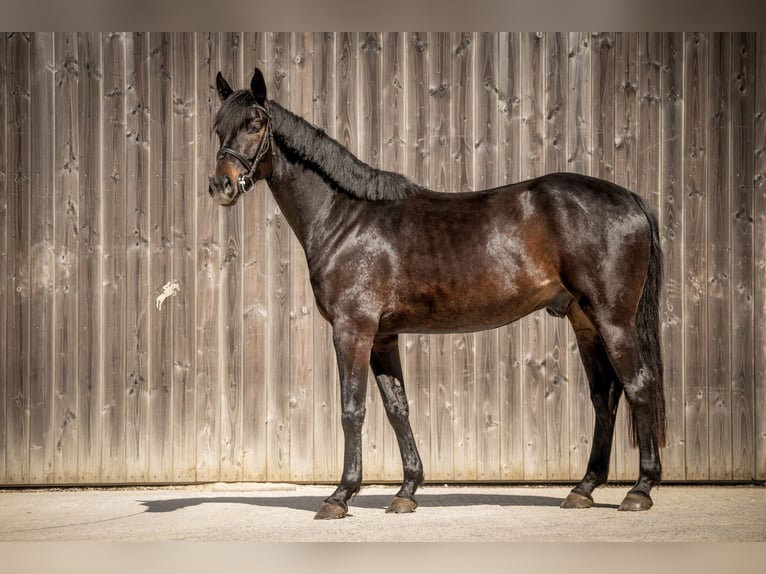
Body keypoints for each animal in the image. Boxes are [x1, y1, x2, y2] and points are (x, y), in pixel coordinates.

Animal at [208, 68, 667, 520]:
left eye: (255, 123)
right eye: (218, 127)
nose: (221, 186)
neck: (345, 217)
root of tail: (631, 199)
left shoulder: (352, 330)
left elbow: (352, 410)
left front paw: (340, 495)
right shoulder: (382, 336)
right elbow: (397, 408)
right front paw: (407, 490)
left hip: (613, 319)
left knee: (638, 386)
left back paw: (640, 489)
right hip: (584, 320)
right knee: (604, 396)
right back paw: (583, 488)